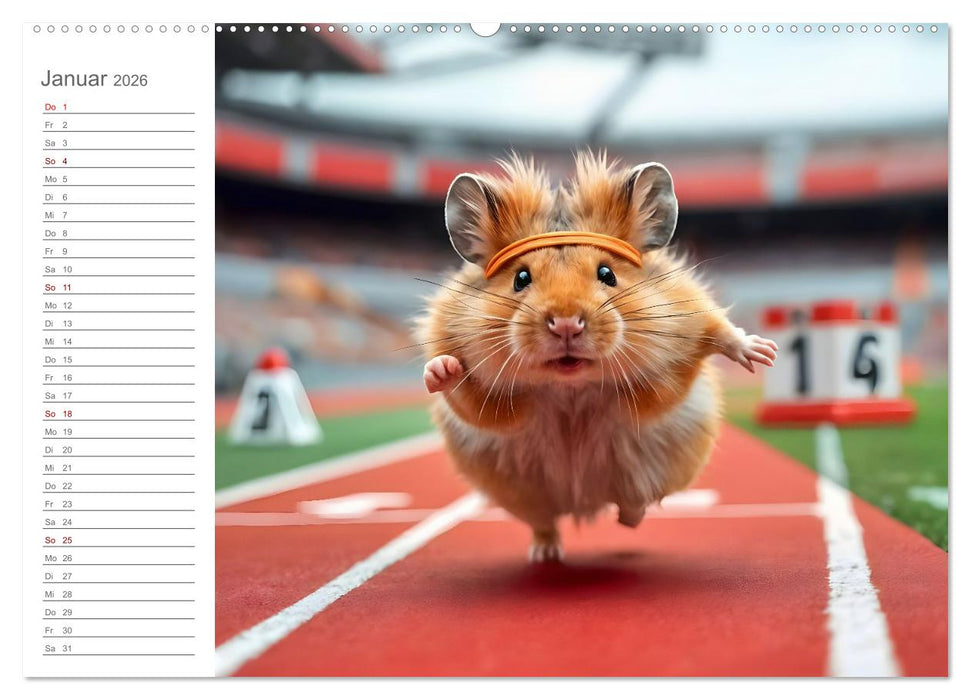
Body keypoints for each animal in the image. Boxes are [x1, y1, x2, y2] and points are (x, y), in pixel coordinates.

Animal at [416, 152, 777, 562]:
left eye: (607, 274)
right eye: (521, 278)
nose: (566, 324)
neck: (571, 388)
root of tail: (582, 505)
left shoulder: (689, 312)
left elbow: (718, 331)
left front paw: (764, 353)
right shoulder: (483, 399)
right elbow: (461, 392)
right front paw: (441, 369)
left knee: (634, 503)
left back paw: (626, 521)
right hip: (524, 495)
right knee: (544, 522)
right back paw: (545, 555)